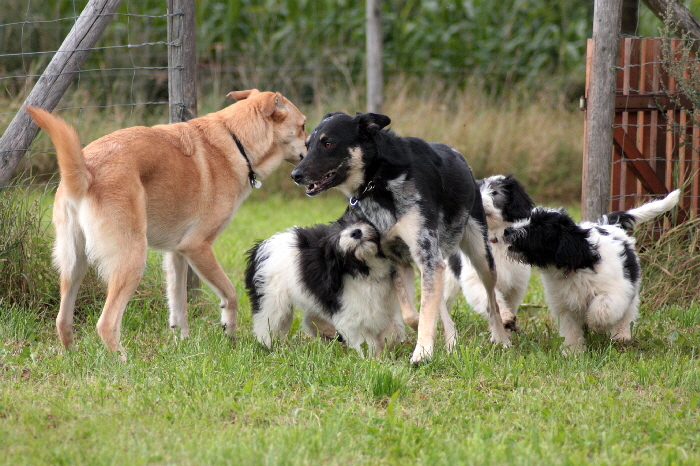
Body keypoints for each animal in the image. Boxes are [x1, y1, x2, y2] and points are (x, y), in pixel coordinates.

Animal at [27, 91, 306, 360]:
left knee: (62, 320)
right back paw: (124, 361)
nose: (304, 167)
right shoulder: (198, 248)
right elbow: (230, 294)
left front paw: (182, 342)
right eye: (303, 126)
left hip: (74, 265)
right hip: (131, 259)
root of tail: (86, 171)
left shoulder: (176, 254)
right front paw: (229, 332)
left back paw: (71, 356)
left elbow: (178, 305)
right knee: (106, 323)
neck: (236, 142)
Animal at [245, 209, 404, 358]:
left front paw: (385, 347)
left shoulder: (389, 303)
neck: (364, 269)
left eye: (359, 220)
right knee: (268, 323)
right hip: (271, 299)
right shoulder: (348, 313)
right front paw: (374, 358)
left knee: (309, 319)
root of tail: (260, 247)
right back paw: (271, 347)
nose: (356, 232)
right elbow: (364, 340)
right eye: (338, 234)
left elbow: (395, 329)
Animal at [290, 110, 508, 364]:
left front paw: (422, 352)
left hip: (480, 255)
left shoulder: (427, 255)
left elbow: (427, 310)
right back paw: (452, 339)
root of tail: (459, 156)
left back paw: (501, 338)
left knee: (492, 301)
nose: (295, 175)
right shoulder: (398, 261)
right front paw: (429, 339)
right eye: (308, 145)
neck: (379, 181)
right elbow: (413, 313)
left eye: (328, 143)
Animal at [504, 189, 680, 354]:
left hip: (632, 286)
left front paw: (597, 325)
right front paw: (573, 351)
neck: (577, 264)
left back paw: (621, 336)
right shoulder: (563, 303)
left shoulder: (616, 290)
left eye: (538, 226)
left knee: (627, 313)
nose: (507, 231)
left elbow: (603, 307)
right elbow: (570, 329)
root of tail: (610, 225)